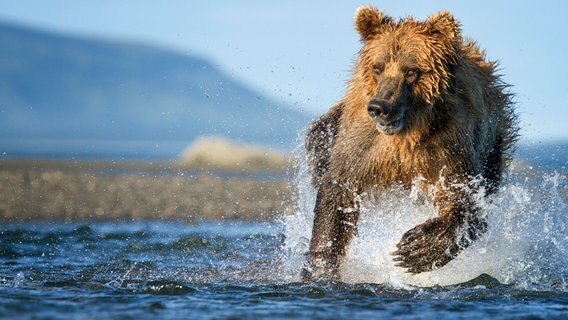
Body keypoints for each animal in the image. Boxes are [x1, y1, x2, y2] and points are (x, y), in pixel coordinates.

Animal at [304, 5, 516, 280]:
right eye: (378, 67)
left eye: (412, 70)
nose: (379, 107)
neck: (406, 134)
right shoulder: (365, 143)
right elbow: (339, 192)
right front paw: (321, 269)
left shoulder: (450, 145)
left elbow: (465, 199)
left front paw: (414, 249)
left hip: (492, 145)